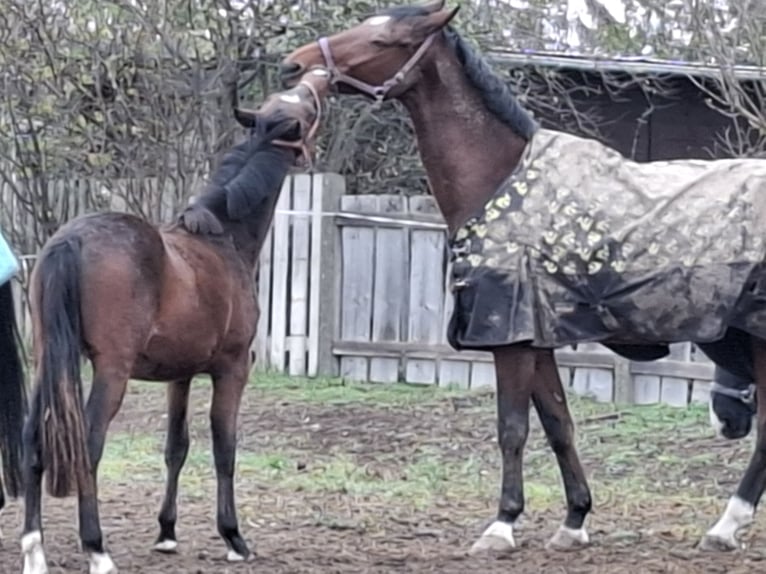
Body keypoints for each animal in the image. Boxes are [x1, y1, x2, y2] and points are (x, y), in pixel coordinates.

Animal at [21, 72, 332, 574]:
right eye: (302, 109)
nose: (317, 79)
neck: (225, 236)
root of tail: (71, 239)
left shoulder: (179, 376)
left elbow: (176, 447)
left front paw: (166, 532)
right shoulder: (232, 369)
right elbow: (224, 446)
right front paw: (233, 537)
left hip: (46, 359)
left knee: (32, 439)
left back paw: (34, 548)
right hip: (110, 371)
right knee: (88, 444)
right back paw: (97, 548)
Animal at [280, 0, 766, 560]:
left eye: (384, 42)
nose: (294, 65)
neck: (497, 176)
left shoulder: (508, 339)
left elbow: (512, 429)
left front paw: (502, 524)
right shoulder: (537, 339)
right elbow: (559, 424)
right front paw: (575, 520)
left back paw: (726, 525)